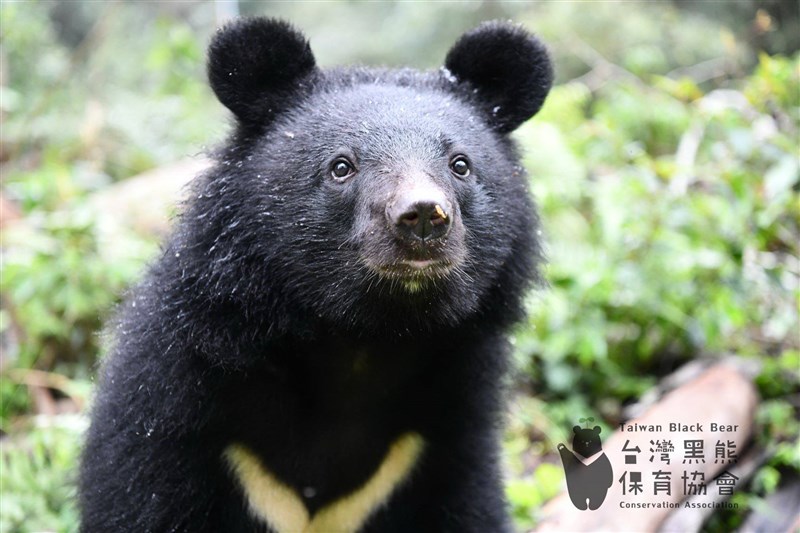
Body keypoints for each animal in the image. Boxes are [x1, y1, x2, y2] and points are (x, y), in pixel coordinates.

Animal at [78, 17, 552, 533]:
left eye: (460, 164)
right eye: (341, 166)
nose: (424, 216)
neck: (361, 339)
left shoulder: (447, 435)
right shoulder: (170, 405)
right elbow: (141, 500)